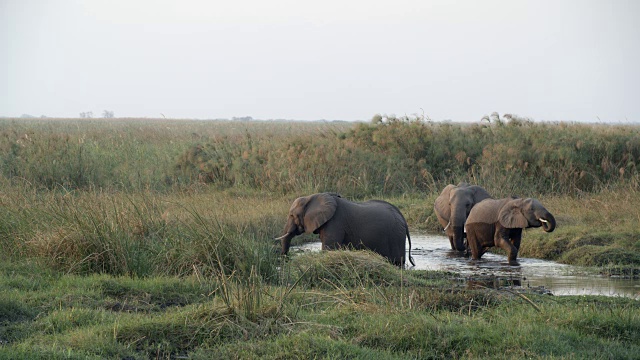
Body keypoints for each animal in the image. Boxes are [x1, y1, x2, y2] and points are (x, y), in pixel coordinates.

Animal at [276, 191, 416, 268]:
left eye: (292, 215)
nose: (284, 261)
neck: (312, 197)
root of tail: (403, 218)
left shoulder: (335, 222)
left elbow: (329, 248)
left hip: (396, 236)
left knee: (398, 262)